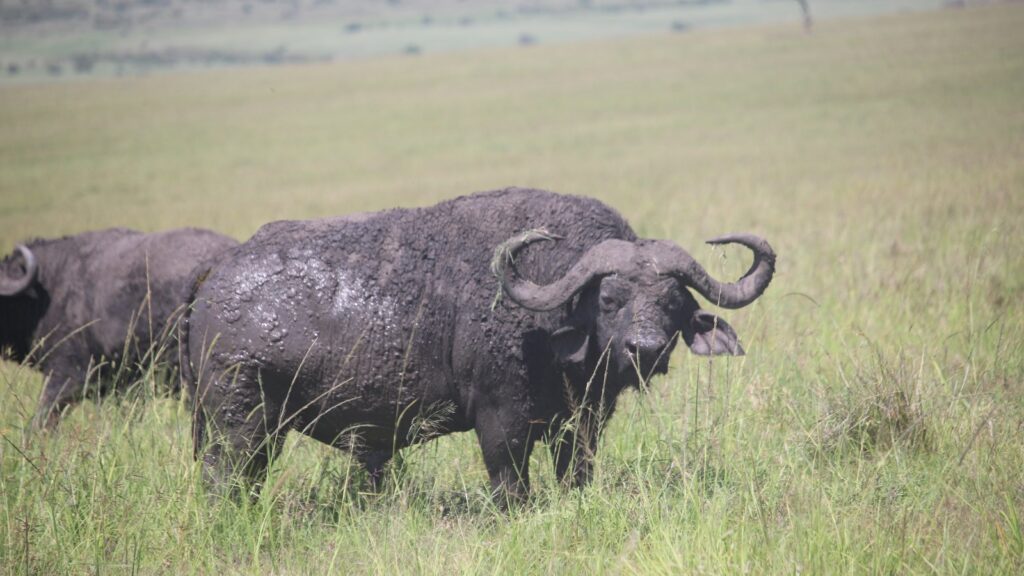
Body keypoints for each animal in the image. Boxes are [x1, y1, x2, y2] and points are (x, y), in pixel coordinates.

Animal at [185, 188, 774, 502]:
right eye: (609, 298)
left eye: (673, 301)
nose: (645, 350)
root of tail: (216, 279)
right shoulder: (501, 418)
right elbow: (510, 482)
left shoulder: (583, 419)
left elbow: (576, 471)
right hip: (239, 423)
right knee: (225, 476)